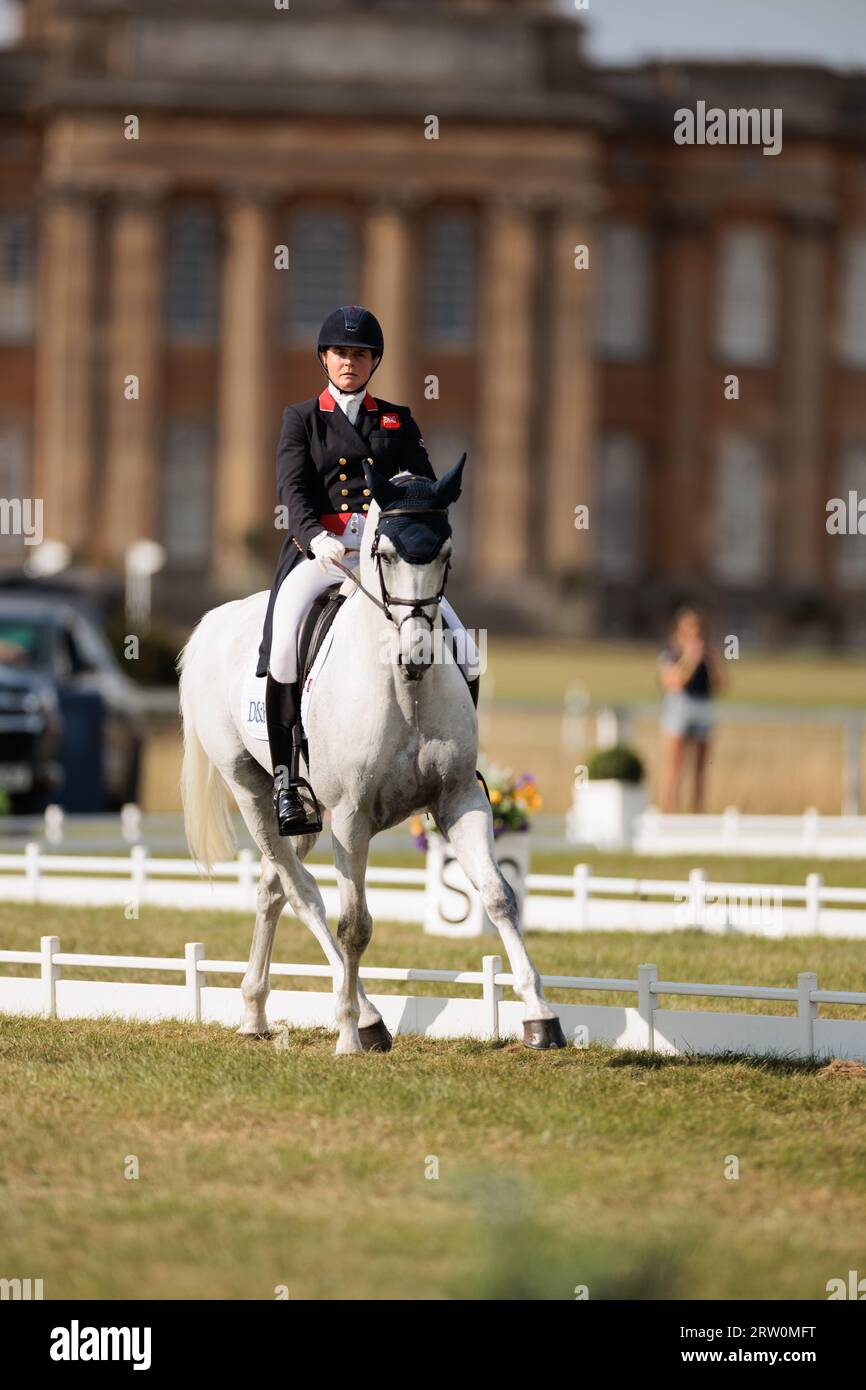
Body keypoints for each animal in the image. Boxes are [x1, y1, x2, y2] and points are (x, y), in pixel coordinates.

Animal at [179, 458, 567, 1050]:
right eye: (384, 553)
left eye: (447, 554)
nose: (416, 654)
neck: (405, 693)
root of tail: (214, 622)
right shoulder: (351, 818)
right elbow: (354, 923)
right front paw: (347, 1034)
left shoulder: (460, 800)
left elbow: (498, 895)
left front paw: (541, 1017)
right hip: (252, 790)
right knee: (303, 893)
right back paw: (362, 1017)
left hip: (306, 811)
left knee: (274, 886)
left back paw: (254, 1013)